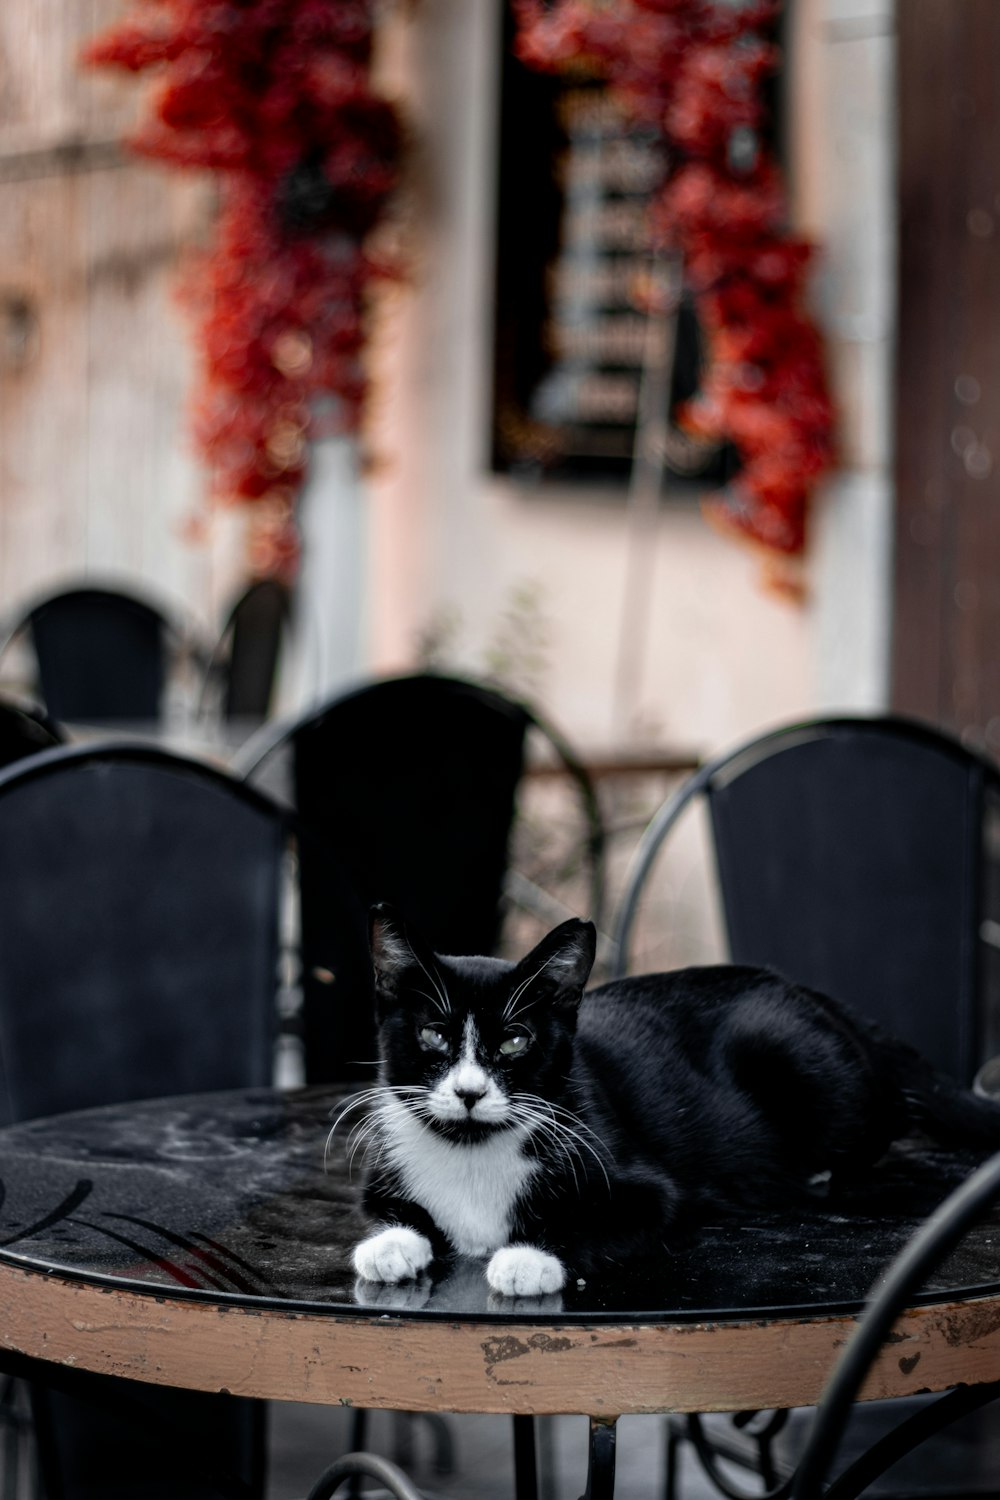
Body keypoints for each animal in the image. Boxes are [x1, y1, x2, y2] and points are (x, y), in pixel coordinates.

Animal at [350, 900, 1000, 1302]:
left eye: (515, 1041)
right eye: (434, 1036)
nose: (468, 1092)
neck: (471, 1152)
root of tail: (818, 996)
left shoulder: (643, 1183)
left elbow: (612, 1216)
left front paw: (529, 1258)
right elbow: (389, 1207)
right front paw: (389, 1245)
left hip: (789, 1051)